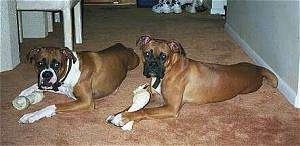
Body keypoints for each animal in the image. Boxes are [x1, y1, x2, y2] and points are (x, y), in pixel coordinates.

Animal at [107, 35, 276, 129]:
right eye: (147, 53)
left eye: (163, 56)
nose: (153, 66)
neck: (170, 68)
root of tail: (256, 68)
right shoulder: (156, 97)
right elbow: (133, 106)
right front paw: (117, 114)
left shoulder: (171, 107)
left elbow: (144, 111)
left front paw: (124, 118)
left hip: (252, 87)